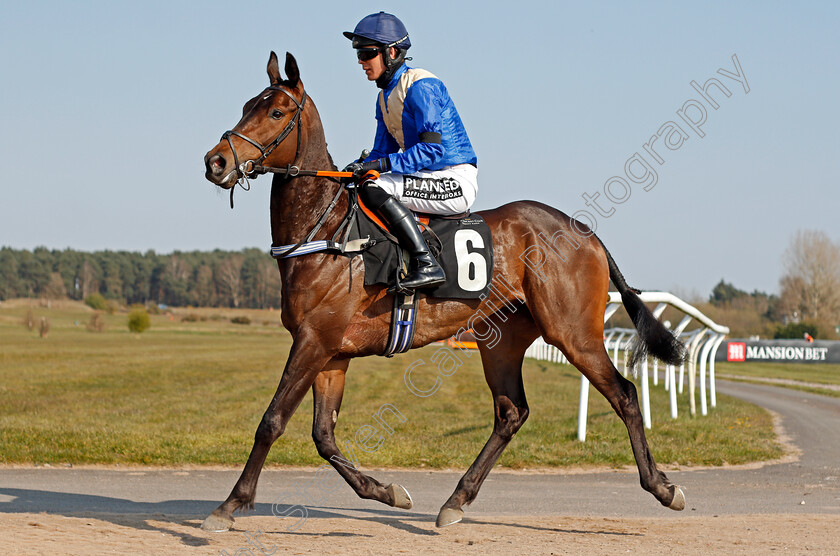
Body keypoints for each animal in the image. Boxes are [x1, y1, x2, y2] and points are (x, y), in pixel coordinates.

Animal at [200, 51, 684, 528]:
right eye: (247, 106)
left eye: (276, 111)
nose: (215, 161)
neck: (328, 233)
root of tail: (587, 233)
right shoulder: (331, 352)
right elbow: (324, 435)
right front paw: (387, 492)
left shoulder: (314, 341)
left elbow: (273, 420)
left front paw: (231, 503)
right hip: (502, 340)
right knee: (511, 412)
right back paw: (457, 499)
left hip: (573, 333)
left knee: (624, 394)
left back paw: (663, 487)